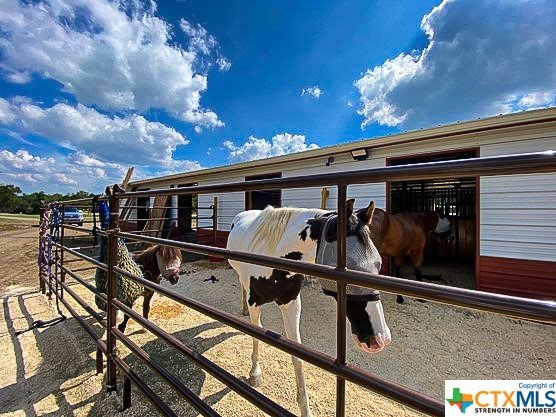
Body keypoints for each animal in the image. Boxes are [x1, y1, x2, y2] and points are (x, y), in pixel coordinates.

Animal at [227, 199, 390, 417]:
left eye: (378, 265)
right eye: (352, 269)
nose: (380, 338)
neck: (272, 255)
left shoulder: (290, 303)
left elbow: (297, 355)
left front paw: (305, 408)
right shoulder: (256, 302)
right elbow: (256, 335)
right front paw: (255, 374)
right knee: (242, 286)